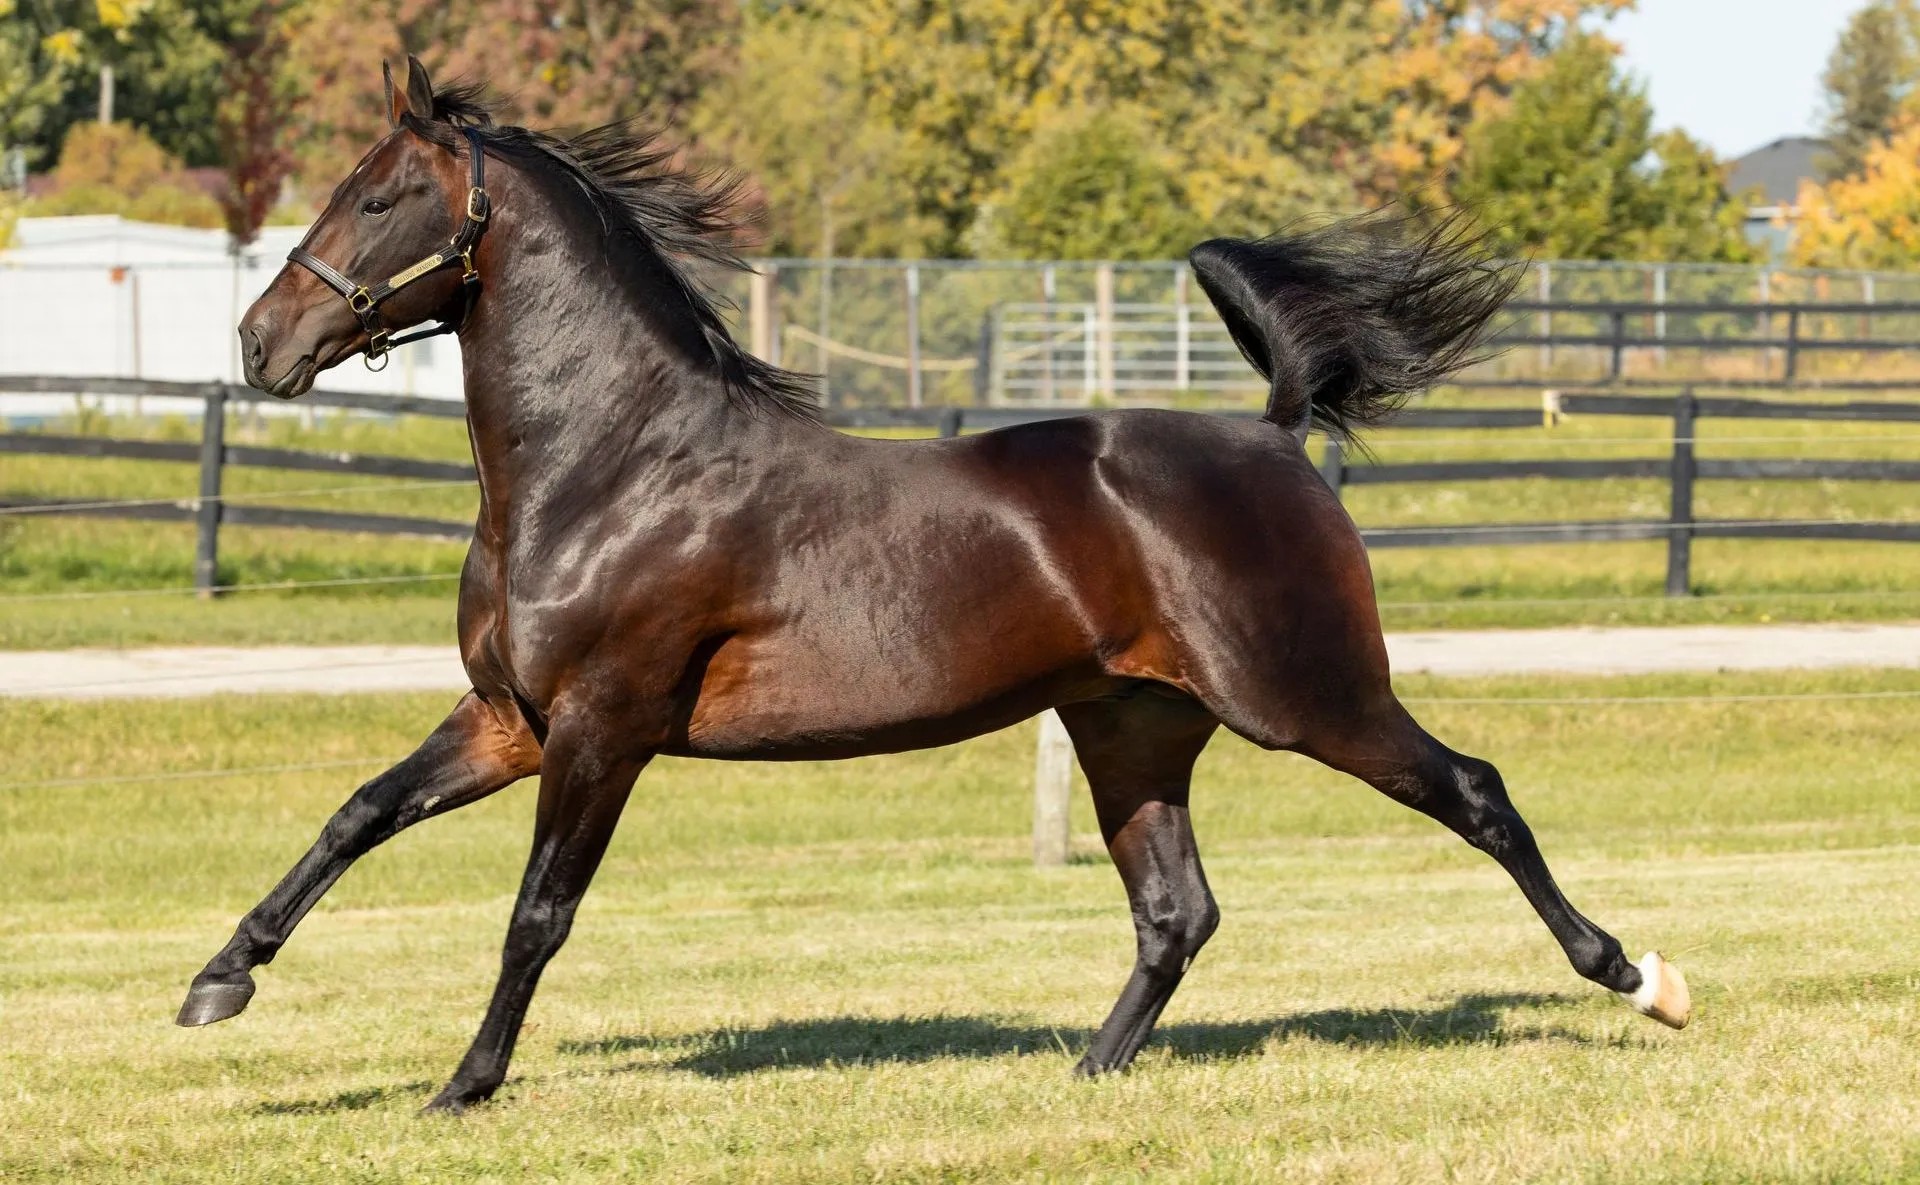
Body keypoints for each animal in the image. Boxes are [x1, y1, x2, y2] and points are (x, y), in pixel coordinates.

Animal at [181, 57, 1689, 1114]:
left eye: (382, 196)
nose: (261, 343)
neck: (610, 467)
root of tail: (1271, 437)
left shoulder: (604, 727)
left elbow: (535, 916)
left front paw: (463, 1085)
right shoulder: (508, 719)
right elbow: (357, 815)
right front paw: (218, 981)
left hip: (1306, 698)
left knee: (1476, 795)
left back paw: (1638, 977)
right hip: (1131, 726)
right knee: (1177, 911)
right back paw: (1083, 1074)